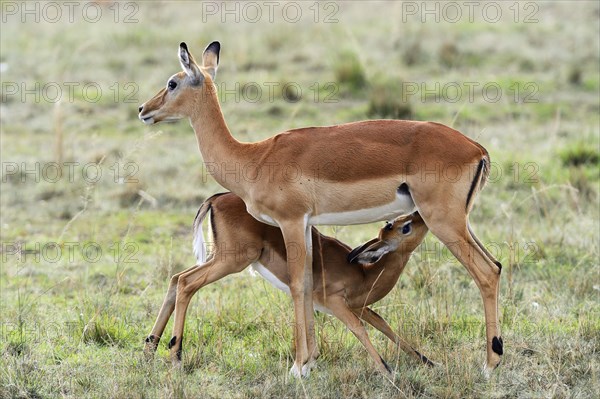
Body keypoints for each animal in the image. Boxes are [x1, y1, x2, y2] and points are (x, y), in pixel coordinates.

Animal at [147, 193, 434, 376]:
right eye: (404, 227)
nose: (420, 213)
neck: (364, 274)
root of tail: (216, 198)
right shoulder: (336, 303)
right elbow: (359, 329)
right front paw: (387, 370)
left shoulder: (357, 306)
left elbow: (386, 326)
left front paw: (428, 361)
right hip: (231, 262)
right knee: (186, 282)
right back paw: (175, 357)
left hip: (219, 259)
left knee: (175, 278)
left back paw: (150, 348)